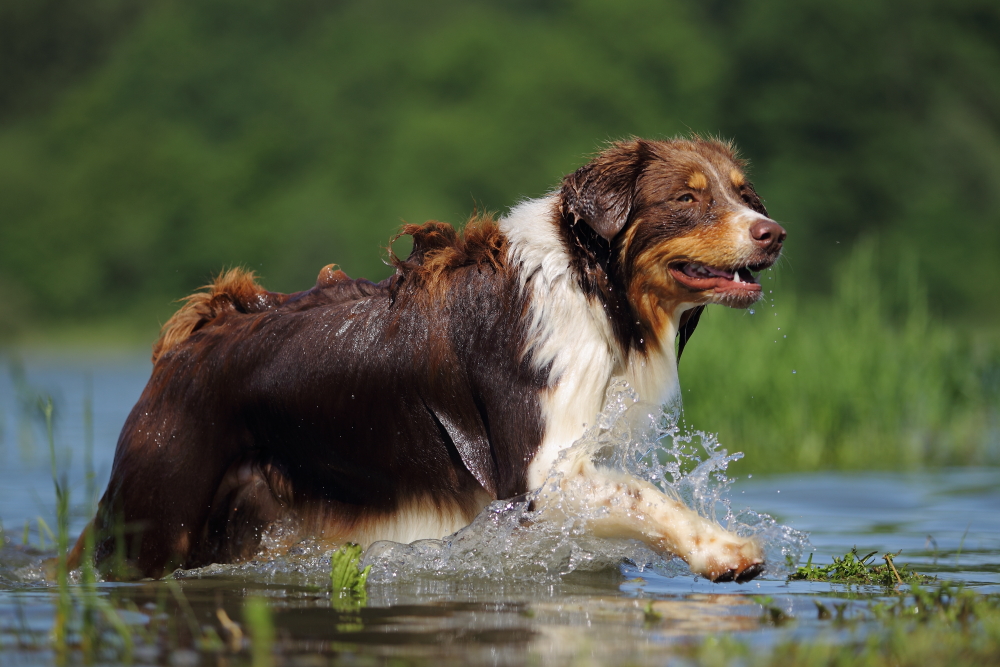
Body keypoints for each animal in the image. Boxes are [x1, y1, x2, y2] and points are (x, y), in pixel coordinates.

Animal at [76, 137, 780, 584]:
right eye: (686, 198)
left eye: (747, 194)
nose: (773, 233)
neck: (594, 289)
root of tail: (188, 340)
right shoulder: (537, 472)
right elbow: (641, 492)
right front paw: (726, 550)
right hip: (156, 512)